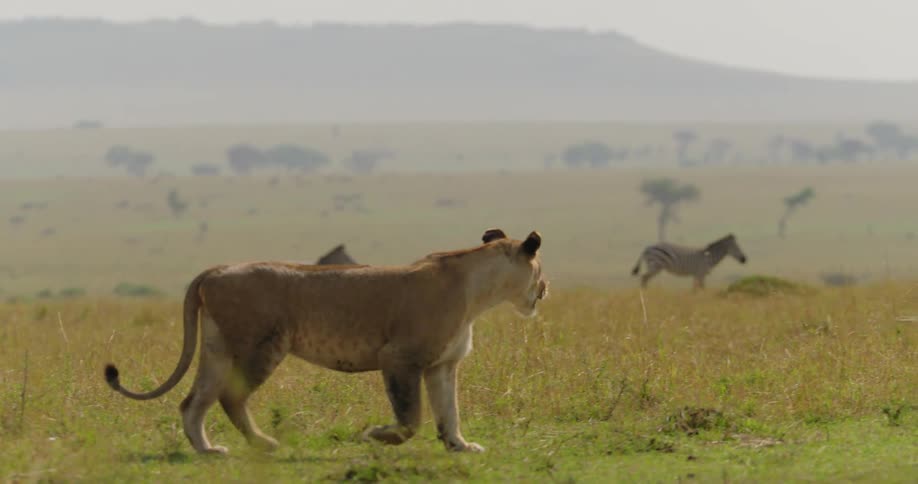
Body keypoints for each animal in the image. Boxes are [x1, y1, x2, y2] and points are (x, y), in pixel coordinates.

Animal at [104, 228, 548, 455]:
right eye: (540, 269)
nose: (544, 290)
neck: (478, 292)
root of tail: (214, 270)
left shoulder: (442, 365)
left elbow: (448, 411)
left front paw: (459, 445)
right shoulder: (399, 358)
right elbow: (411, 418)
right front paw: (376, 436)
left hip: (217, 350)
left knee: (193, 401)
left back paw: (207, 450)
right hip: (263, 346)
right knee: (230, 397)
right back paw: (263, 443)